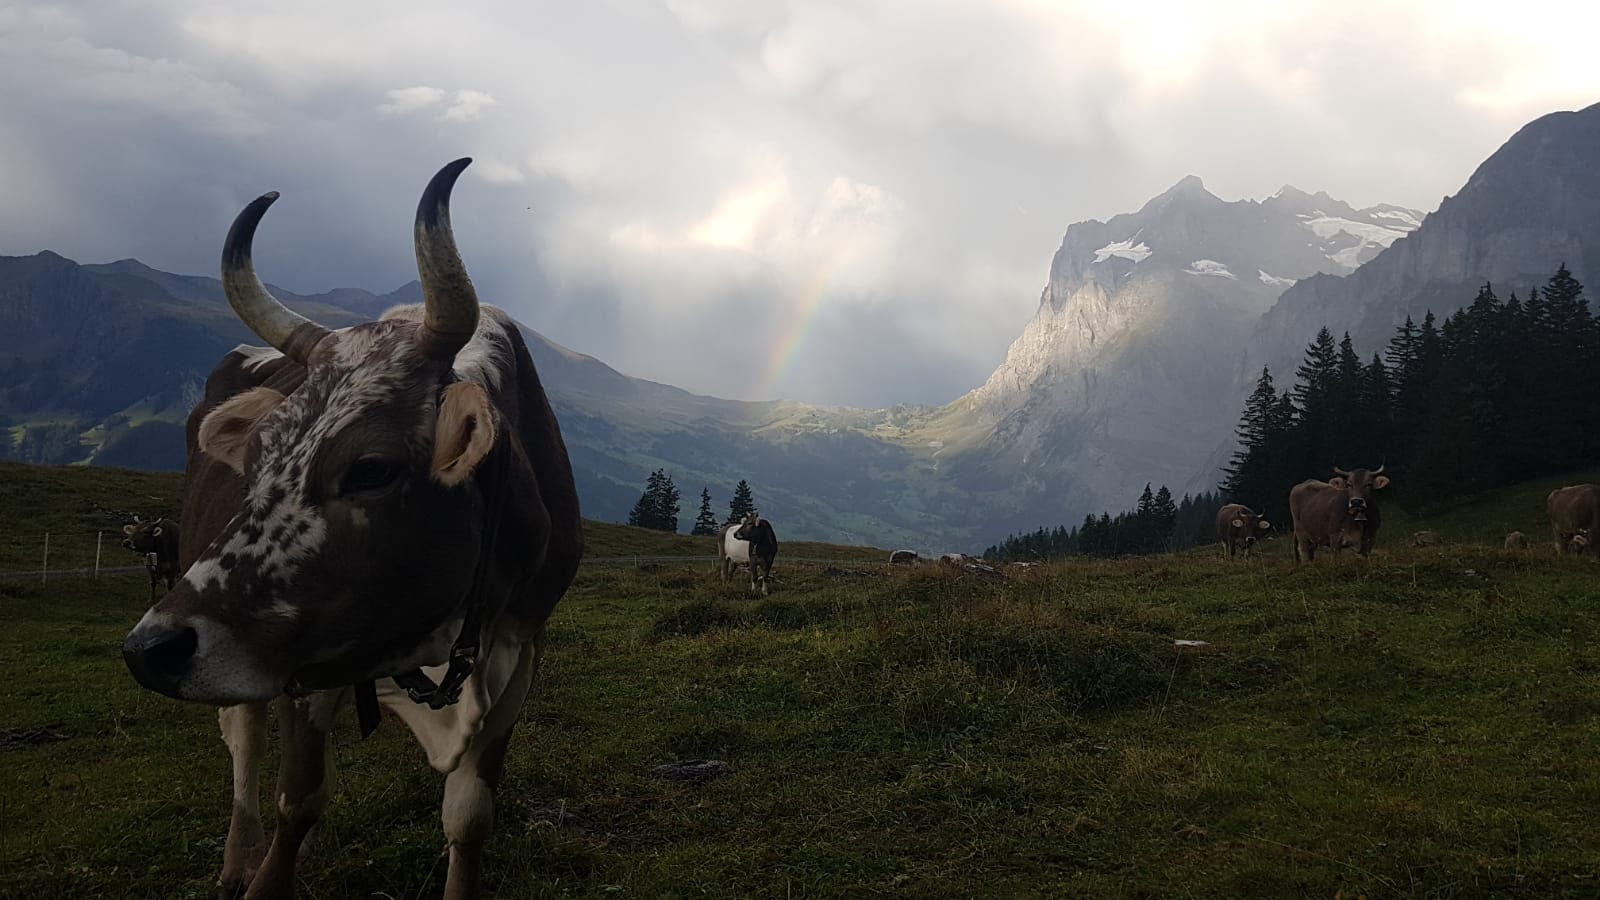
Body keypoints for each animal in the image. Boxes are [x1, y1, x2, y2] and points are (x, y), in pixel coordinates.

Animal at [119, 160, 583, 900]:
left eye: (371, 469)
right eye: (259, 456)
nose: (150, 648)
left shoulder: (519, 652)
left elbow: (469, 817)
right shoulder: (302, 665)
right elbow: (298, 798)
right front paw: (265, 876)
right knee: (244, 744)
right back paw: (237, 859)